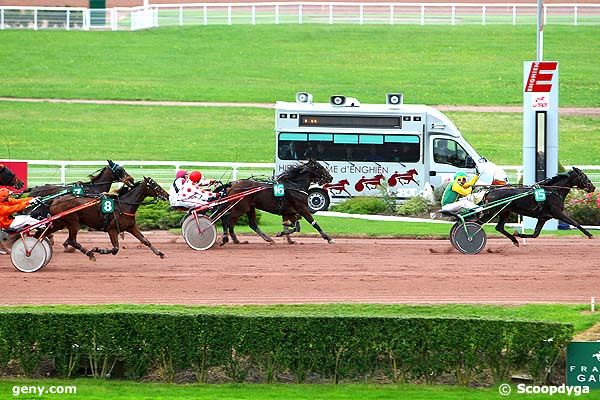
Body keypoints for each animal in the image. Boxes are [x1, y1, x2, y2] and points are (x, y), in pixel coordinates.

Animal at [40, 177, 169, 260]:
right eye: (155, 185)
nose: (167, 195)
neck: (123, 205)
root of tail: (55, 200)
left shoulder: (131, 227)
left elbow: (145, 240)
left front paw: (160, 253)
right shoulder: (112, 229)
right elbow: (115, 249)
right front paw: (97, 249)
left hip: (59, 222)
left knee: (42, 233)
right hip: (73, 223)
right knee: (72, 240)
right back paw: (89, 253)